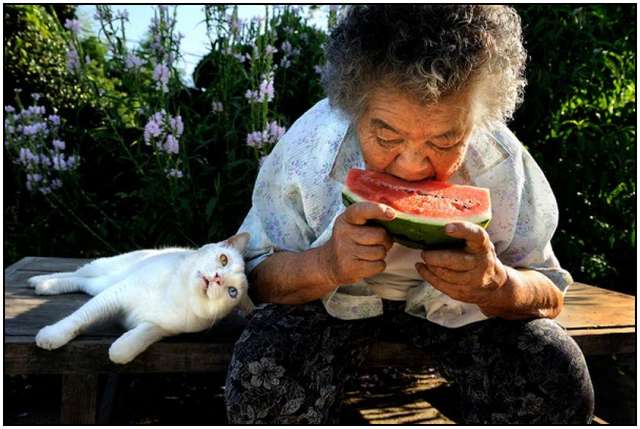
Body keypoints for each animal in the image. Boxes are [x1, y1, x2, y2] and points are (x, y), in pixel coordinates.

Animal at [27, 232, 254, 362]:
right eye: (223, 259)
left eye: (232, 291)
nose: (217, 278)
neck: (179, 293)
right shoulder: (116, 294)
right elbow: (80, 317)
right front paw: (53, 335)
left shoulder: (159, 328)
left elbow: (131, 344)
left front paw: (119, 349)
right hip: (107, 271)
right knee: (78, 273)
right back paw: (40, 281)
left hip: (101, 284)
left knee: (82, 281)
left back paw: (42, 284)